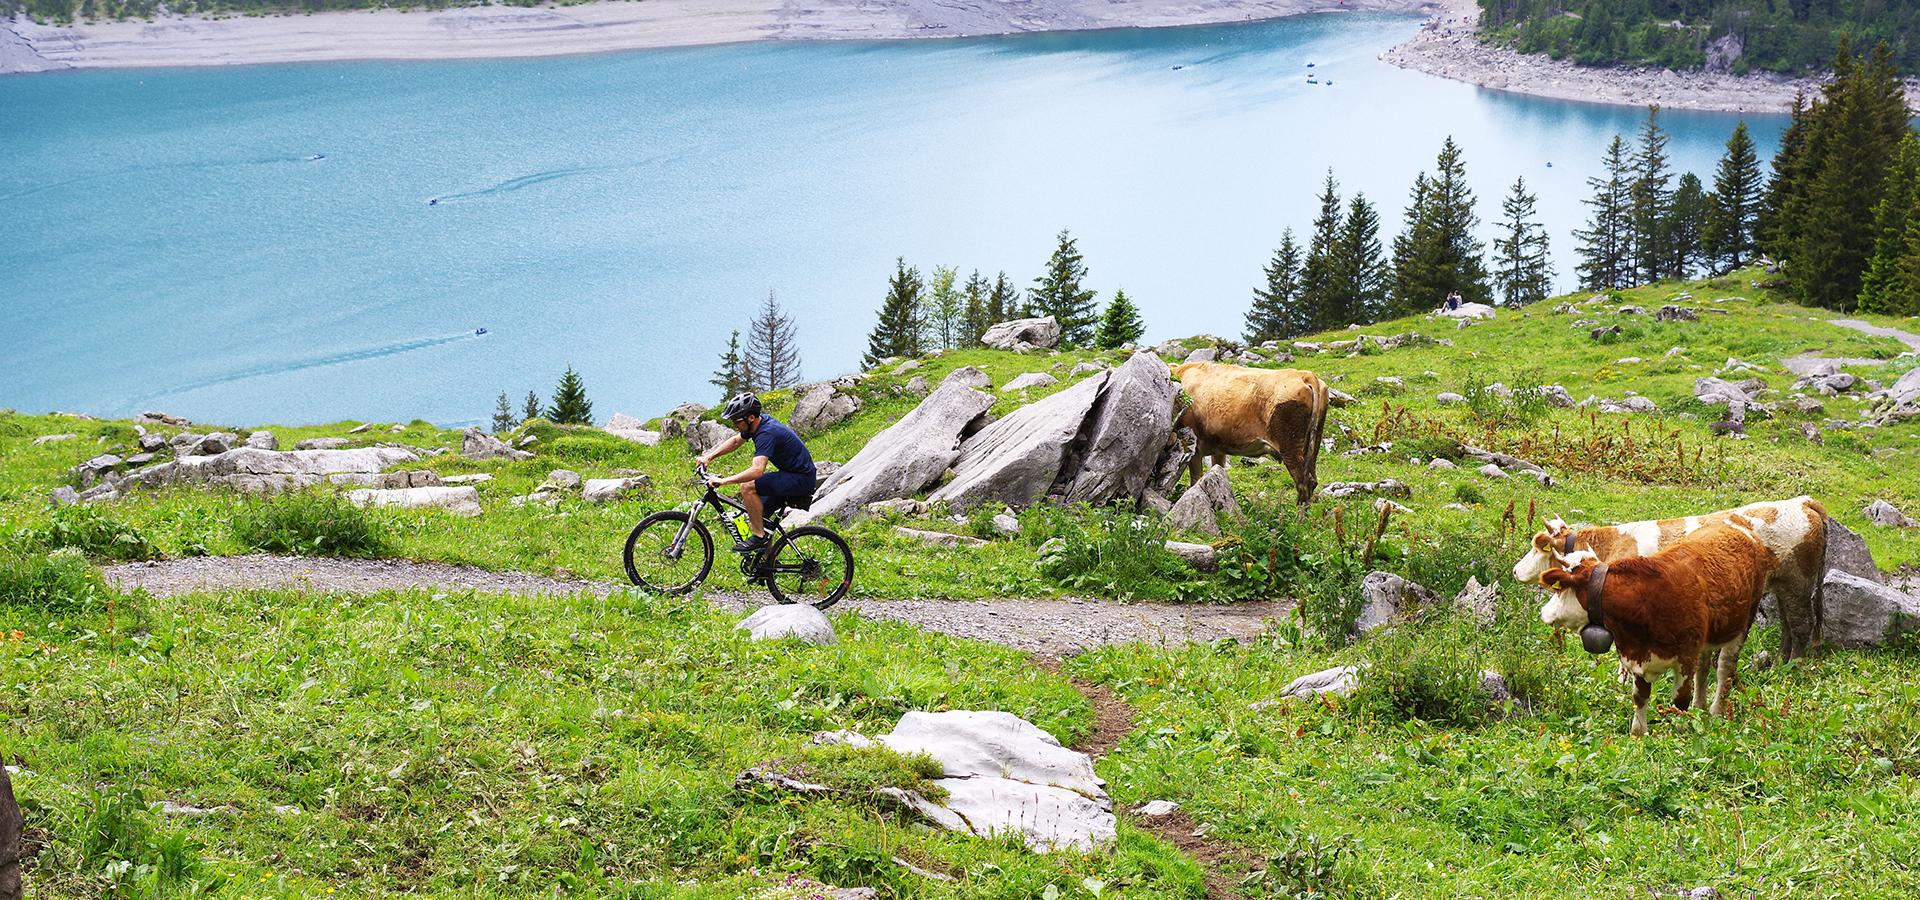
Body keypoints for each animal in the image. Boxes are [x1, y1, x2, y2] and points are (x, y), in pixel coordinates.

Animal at [1167, 356, 1336, 510]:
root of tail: (1305, 375)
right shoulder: (1219, 449)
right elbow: (1218, 472)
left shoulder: (1193, 447)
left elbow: (1195, 480)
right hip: (1313, 445)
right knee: (1312, 480)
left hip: (1290, 446)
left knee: (1303, 482)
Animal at [1512, 491, 1827, 660]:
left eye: (1536, 546)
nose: (1515, 570)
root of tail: (1801, 501)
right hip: (1782, 586)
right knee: (1788, 625)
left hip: (1798, 582)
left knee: (1801, 626)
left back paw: (1787, 667)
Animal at [1536, 518, 1774, 736]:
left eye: (1558, 589)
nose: (1544, 612)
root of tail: (1739, 525)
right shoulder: (1639, 655)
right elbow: (1639, 697)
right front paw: (1639, 733)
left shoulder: (1686, 656)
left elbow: (1679, 700)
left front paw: (1678, 731)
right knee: (1704, 668)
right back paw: (1700, 706)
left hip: (1744, 623)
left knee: (1725, 669)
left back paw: (1716, 711)